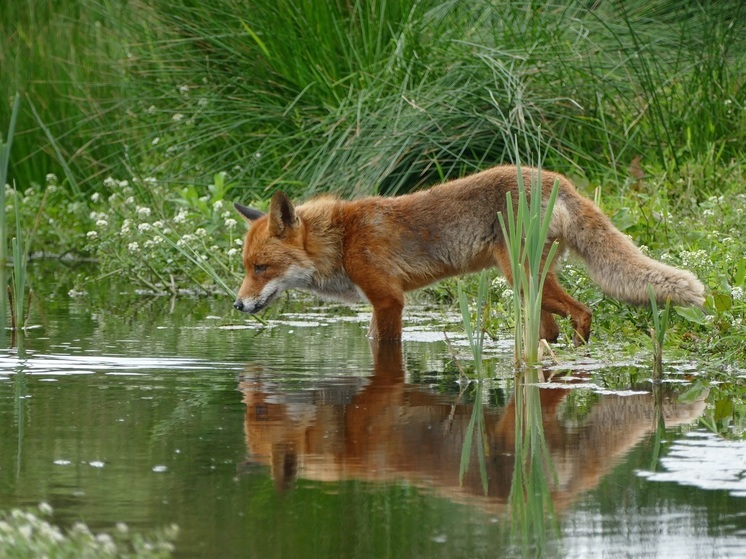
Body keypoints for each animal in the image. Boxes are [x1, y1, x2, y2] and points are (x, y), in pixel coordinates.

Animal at [234, 165, 704, 346]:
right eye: (246, 268)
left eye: (262, 268)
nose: (237, 305)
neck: (342, 239)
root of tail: (556, 179)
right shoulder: (379, 303)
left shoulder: (389, 300)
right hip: (531, 286)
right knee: (552, 329)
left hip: (521, 278)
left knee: (584, 311)